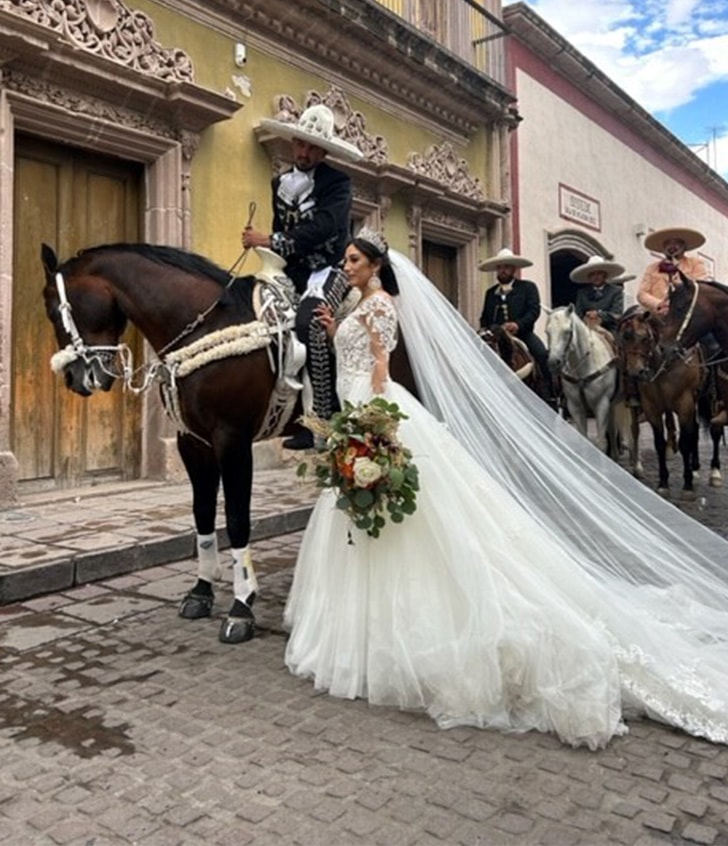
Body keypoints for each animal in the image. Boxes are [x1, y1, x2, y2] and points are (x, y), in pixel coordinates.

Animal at [544, 306, 620, 458]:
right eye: (547, 331)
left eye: (567, 331)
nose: (553, 363)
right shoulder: (575, 407)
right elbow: (584, 441)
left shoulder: (602, 404)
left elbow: (601, 443)